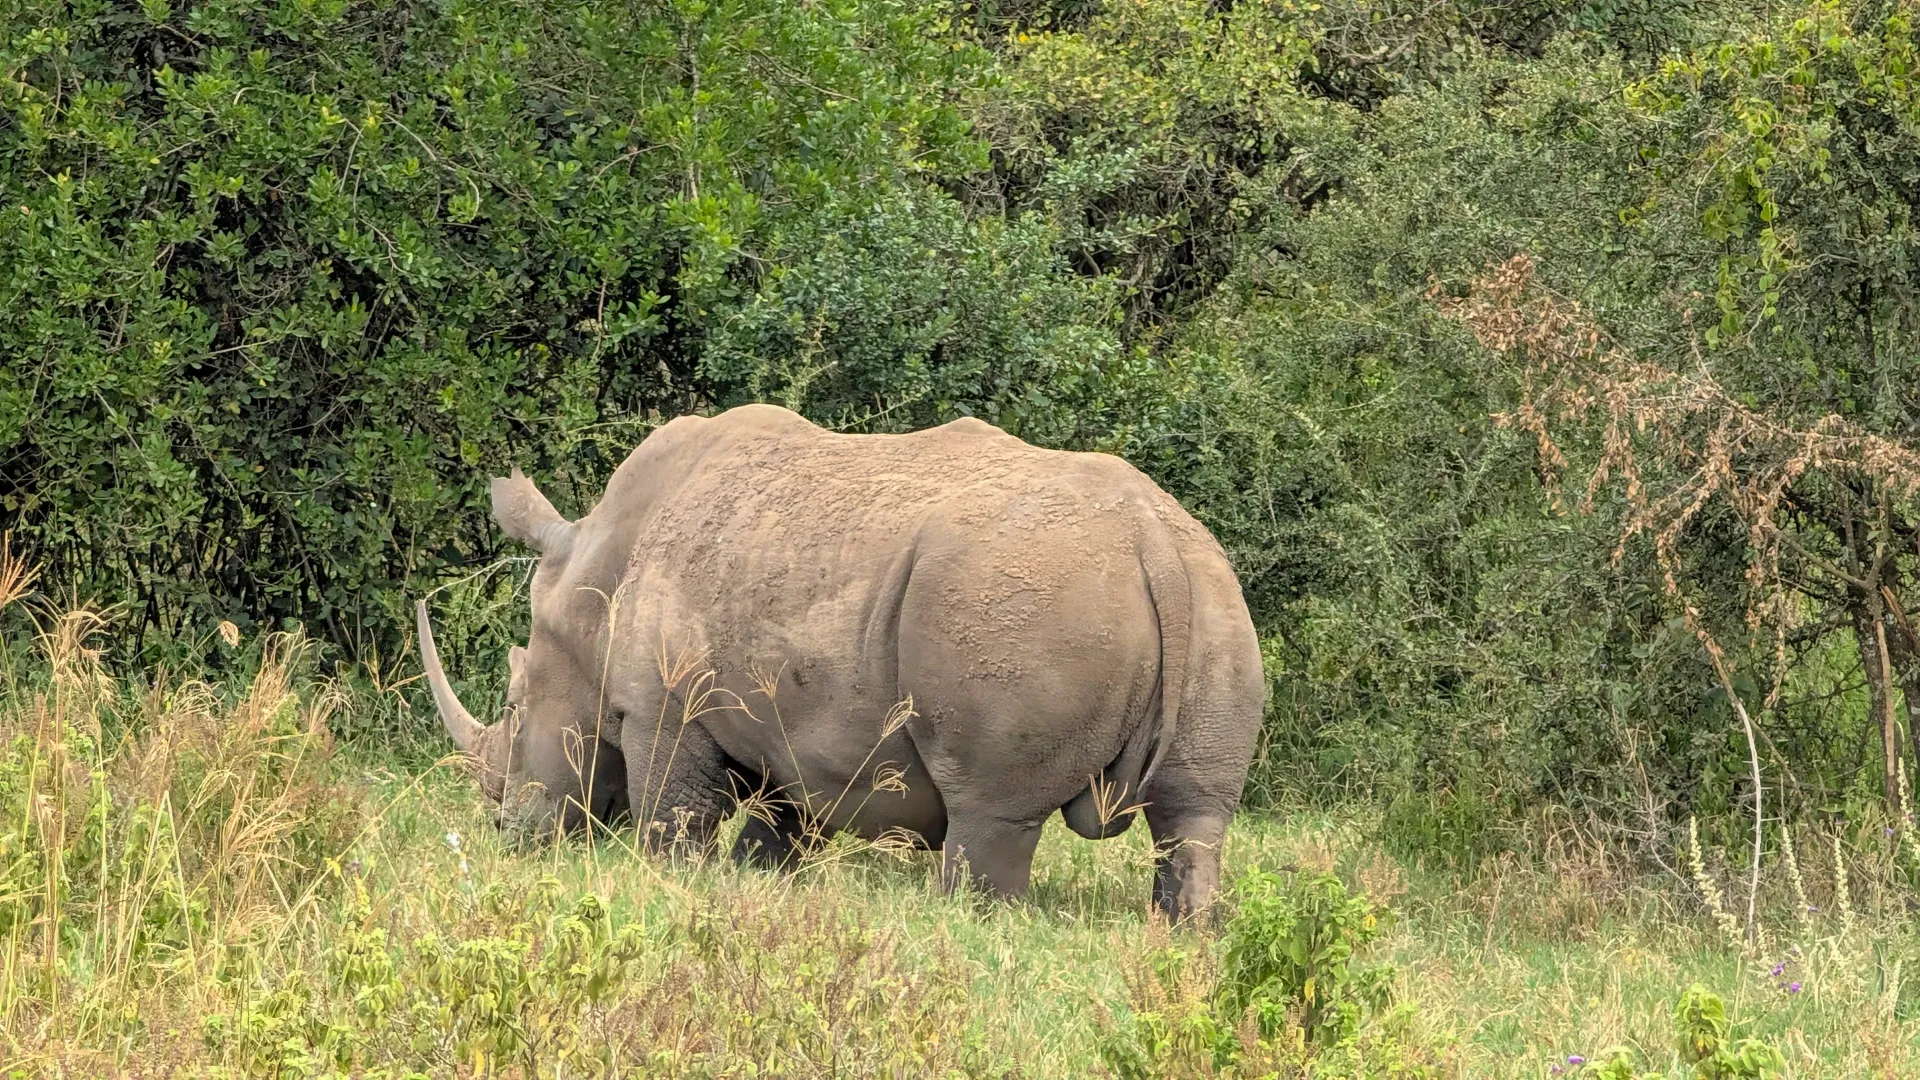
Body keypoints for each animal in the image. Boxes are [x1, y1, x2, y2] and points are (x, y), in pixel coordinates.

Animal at [417, 404, 1264, 918]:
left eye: (514, 704)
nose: (505, 831)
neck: (592, 573)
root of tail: (1151, 543)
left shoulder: (667, 708)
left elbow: (672, 823)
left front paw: (671, 886)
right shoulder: (792, 726)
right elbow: (777, 827)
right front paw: (759, 885)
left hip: (1024, 603)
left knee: (991, 812)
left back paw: (970, 916)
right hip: (1214, 591)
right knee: (1194, 816)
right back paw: (1185, 934)